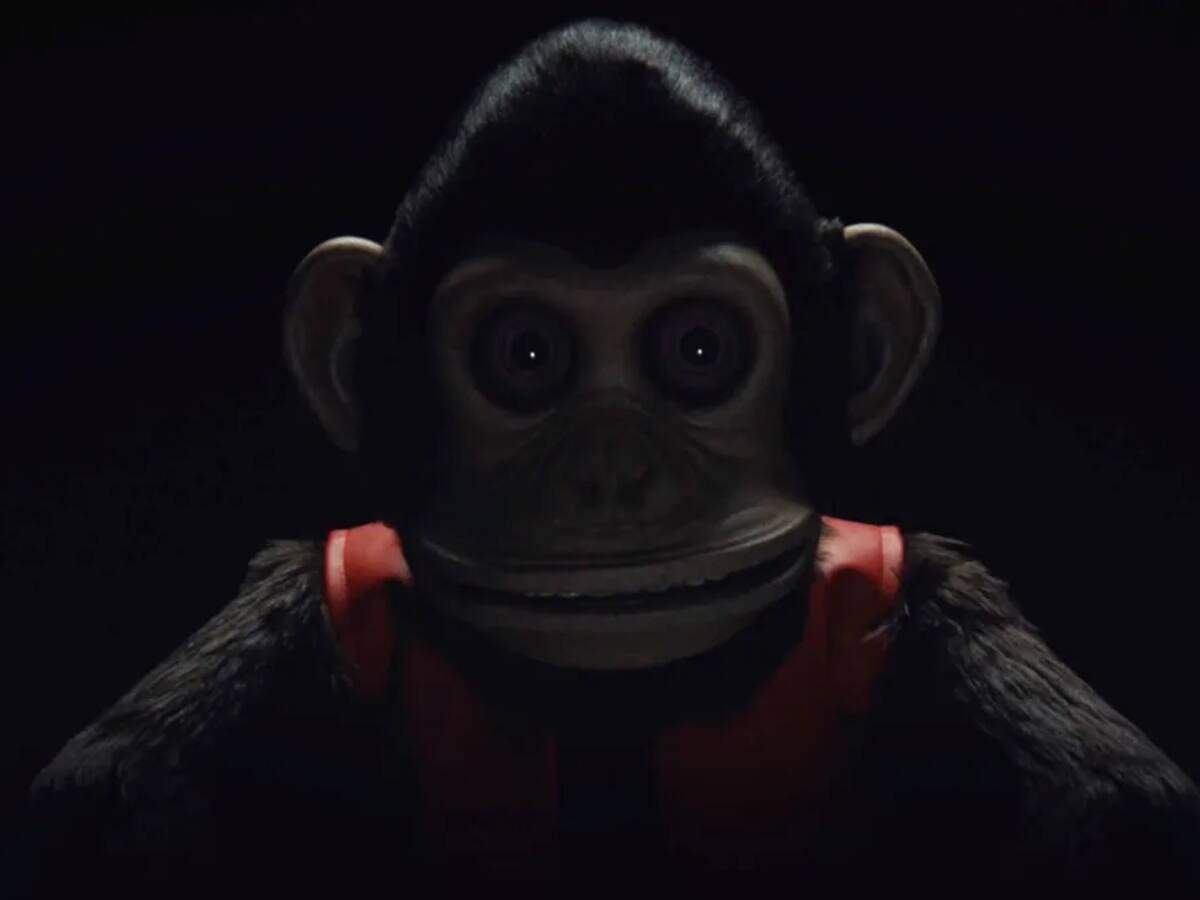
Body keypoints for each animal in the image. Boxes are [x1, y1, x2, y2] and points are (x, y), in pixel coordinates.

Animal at [10, 18, 1200, 900]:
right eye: (526, 354)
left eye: (700, 349)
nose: (613, 477)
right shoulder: (326, 585)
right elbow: (105, 795)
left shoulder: (915, 580)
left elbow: (1125, 809)